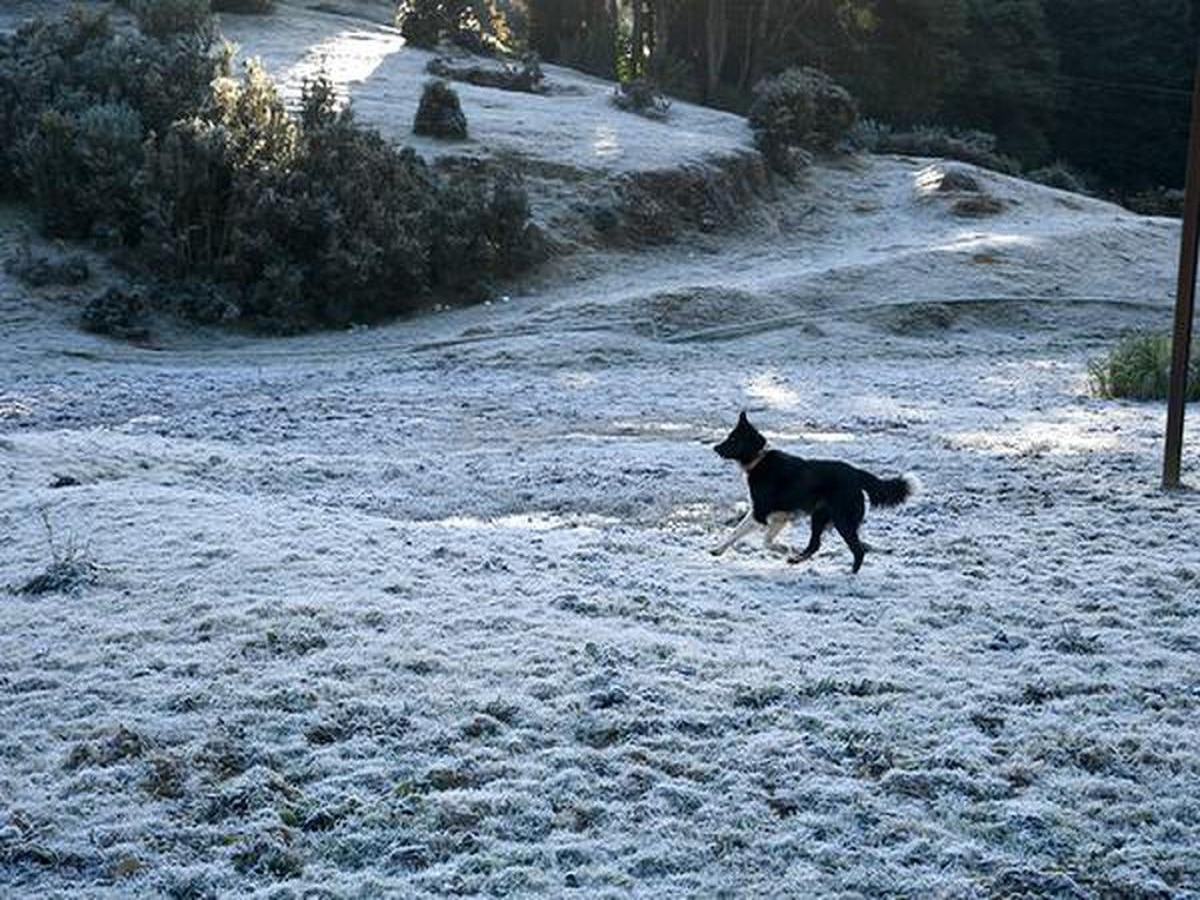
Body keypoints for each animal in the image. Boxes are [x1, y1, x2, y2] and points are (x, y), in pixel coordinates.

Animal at [705, 412, 912, 573]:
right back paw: (796, 559)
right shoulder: (776, 515)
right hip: (820, 516)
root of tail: (856, 473)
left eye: (733, 439)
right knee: (815, 545)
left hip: (841, 520)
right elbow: (751, 536)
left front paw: (782, 548)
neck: (758, 459)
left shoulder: (762, 513)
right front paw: (719, 550)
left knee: (858, 550)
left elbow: (752, 536)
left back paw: (849, 575)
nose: (715, 448)